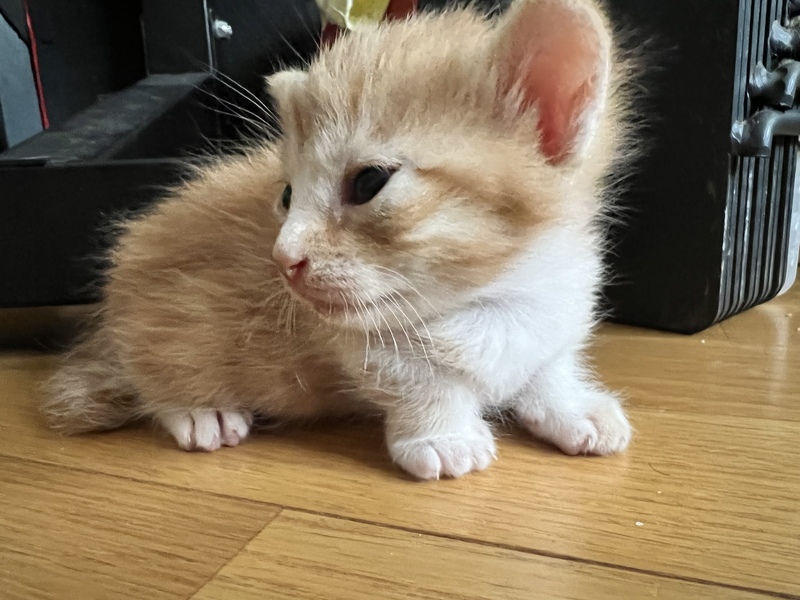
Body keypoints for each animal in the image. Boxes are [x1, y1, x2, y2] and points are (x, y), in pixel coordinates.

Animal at [43, 0, 636, 480]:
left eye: (369, 183)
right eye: (288, 194)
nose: (283, 258)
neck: (498, 296)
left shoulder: (560, 311)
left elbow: (548, 366)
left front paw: (570, 405)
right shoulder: (360, 342)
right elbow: (421, 382)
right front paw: (443, 435)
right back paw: (197, 409)